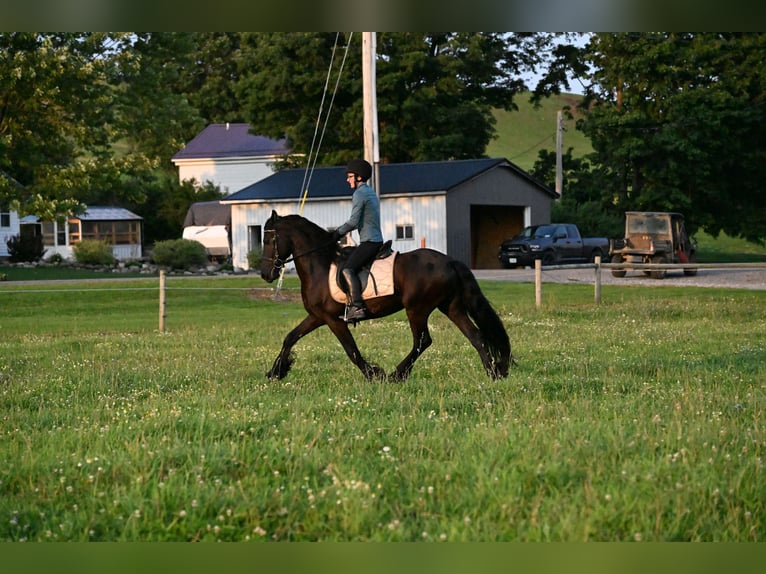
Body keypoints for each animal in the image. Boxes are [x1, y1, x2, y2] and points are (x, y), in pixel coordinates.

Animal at [260, 210, 514, 382]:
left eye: (268, 240)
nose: (265, 274)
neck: (319, 265)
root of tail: (450, 261)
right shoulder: (317, 316)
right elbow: (290, 337)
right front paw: (275, 372)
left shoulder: (333, 320)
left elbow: (351, 350)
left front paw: (375, 374)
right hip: (451, 307)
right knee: (476, 336)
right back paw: (494, 372)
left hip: (417, 309)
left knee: (423, 341)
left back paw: (396, 374)